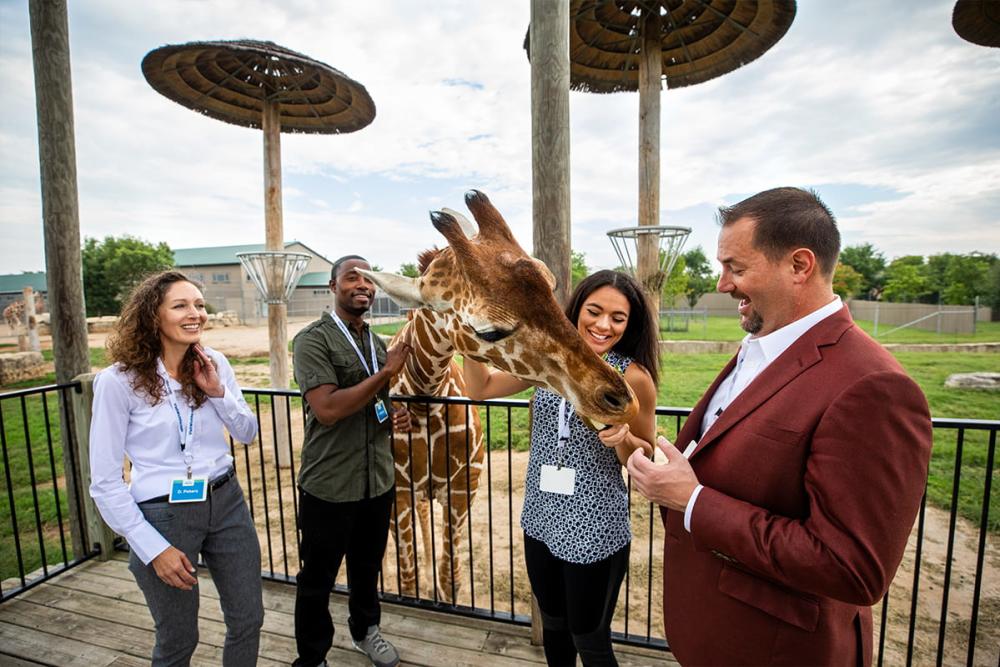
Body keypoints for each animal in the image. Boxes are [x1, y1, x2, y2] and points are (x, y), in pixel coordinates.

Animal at [368, 190, 640, 604]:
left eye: (550, 283)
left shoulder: (462, 492)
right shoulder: (398, 494)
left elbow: (451, 577)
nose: (618, 399)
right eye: (490, 331)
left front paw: (439, 590)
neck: (425, 396)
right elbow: (407, 578)